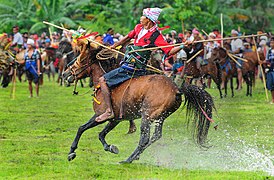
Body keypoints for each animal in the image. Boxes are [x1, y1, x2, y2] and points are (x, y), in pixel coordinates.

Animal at [63, 39, 215, 163]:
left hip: (147, 115)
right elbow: (101, 134)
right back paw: (135, 156)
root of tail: (177, 89)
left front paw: (71, 152)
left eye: (80, 60)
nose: (65, 74)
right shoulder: (116, 119)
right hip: (160, 116)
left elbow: (81, 128)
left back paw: (128, 159)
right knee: (155, 136)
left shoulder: (100, 115)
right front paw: (110, 147)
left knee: (145, 138)